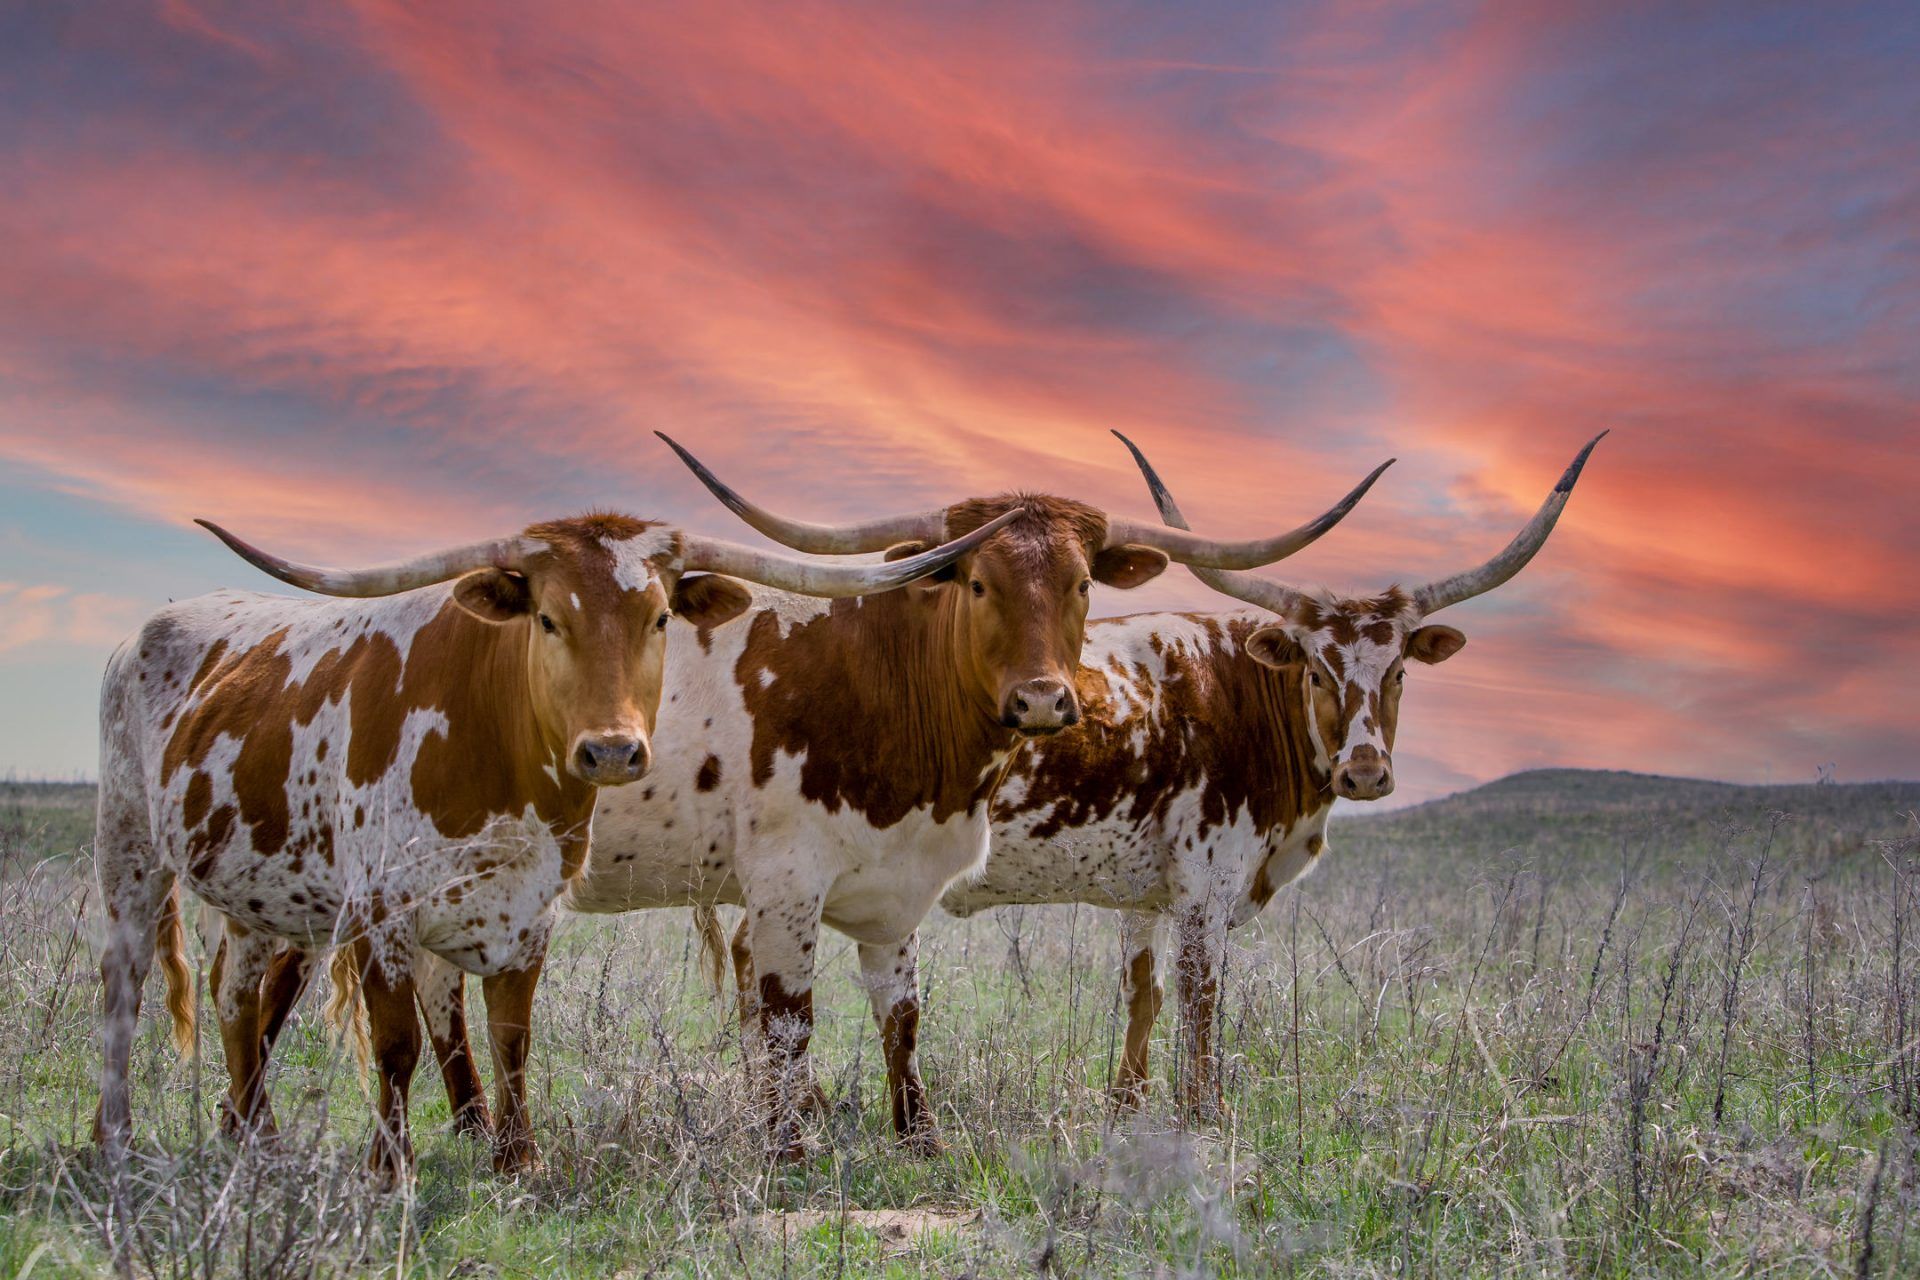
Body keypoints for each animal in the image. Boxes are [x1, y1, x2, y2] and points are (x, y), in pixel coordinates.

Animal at [90, 502, 1006, 1182]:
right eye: (547, 617)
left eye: (661, 616)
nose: (612, 751)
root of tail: (148, 629)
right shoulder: (383, 911)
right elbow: (396, 1044)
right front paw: (391, 1168)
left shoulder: (530, 911)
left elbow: (511, 1036)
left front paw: (516, 1158)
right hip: (130, 854)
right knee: (124, 989)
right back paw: (114, 1137)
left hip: (257, 894)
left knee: (236, 998)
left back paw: (256, 1139)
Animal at [405, 441, 1390, 1159]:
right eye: (977, 581)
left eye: (1081, 583)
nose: (1044, 702)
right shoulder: (786, 886)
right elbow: (788, 1017)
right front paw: (788, 1148)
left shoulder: (903, 884)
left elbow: (905, 1016)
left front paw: (919, 1137)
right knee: (442, 991)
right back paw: (479, 1127)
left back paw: (471, 1125)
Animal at [936, 429, 1597, 1113]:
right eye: (1316, 673)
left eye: (1398, 673)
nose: (1365, 774)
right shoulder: (1206, 889)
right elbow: (1200, 1005)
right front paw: (1202, 1112)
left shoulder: (1141, 896)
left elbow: (1143, 997)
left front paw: (1127, 1106)